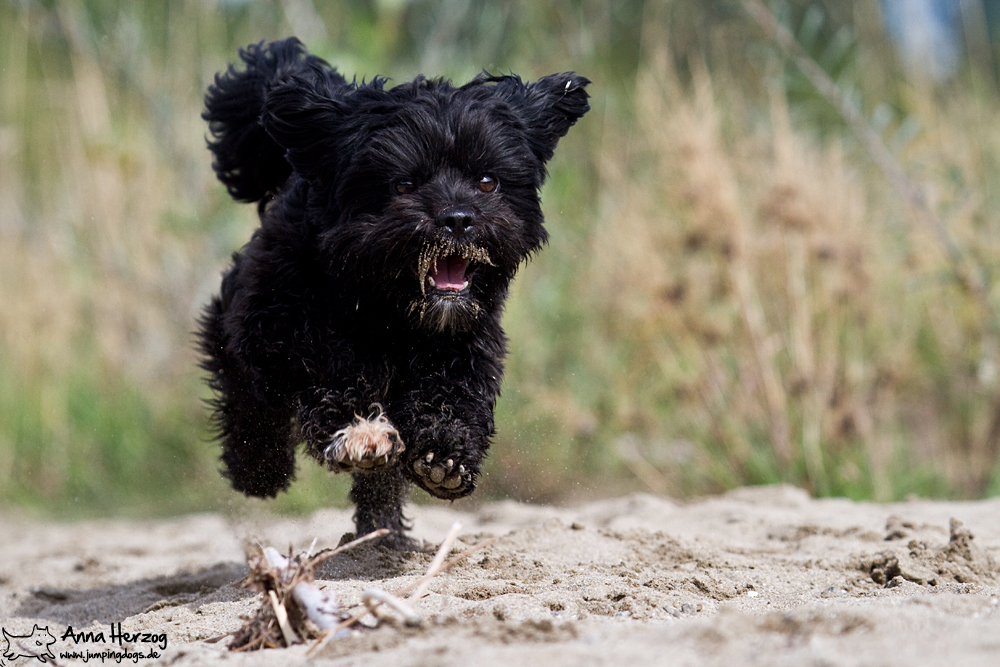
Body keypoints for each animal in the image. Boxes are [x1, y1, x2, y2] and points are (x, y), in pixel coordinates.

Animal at [199, 37, 588, 548]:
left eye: (487, 180)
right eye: (403, 183)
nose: (458, 218)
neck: (389, 309)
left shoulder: (466, 339)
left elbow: (456, 390)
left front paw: (444, 454)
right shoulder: (276, 323)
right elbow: (325, 364)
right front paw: (358, 428)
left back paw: (380, 533)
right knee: (246, 394)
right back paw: (260, 468)